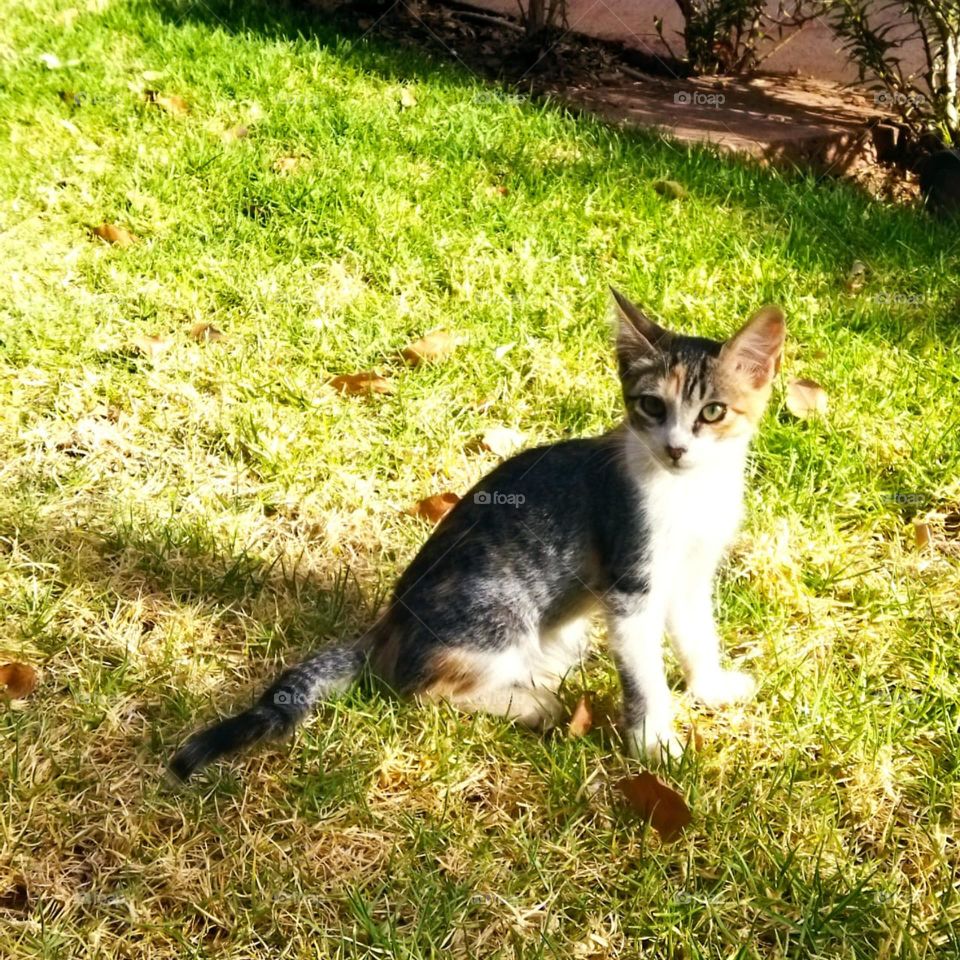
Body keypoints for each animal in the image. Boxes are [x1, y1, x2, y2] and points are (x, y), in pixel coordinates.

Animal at [171, 290, 788, 780]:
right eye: (652, 406)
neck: (690, 493)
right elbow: (643, 675)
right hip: (498, 606)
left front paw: (709, 687)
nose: (676, 448)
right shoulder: (631, 581)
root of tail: (387, 625)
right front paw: (655, 743)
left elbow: (697, 634)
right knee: (422, 689)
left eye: (713, 412)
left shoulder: (690, 572)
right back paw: (536, 705)